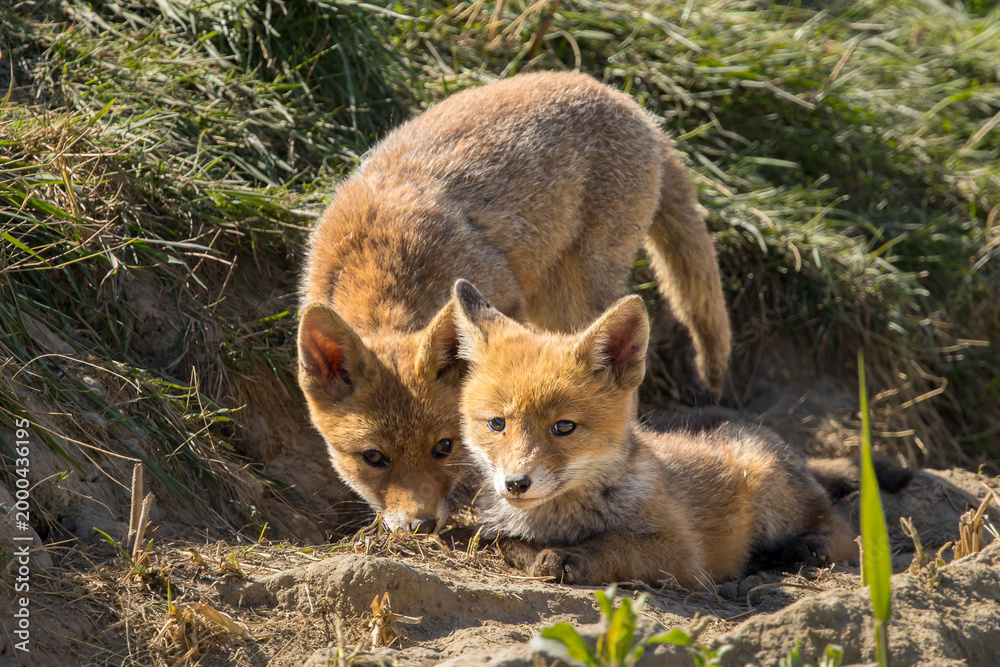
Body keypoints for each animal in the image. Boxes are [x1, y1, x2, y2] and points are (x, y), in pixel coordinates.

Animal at [297, 71, 731, 534]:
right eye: (374, 458)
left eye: (443, 447)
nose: (421, 525)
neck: (382, 265)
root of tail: (625, 99)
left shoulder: (504, 302)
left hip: (572, 298)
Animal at [452, 278, 910, 587]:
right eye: (497, 424)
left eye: (563, 427)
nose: (516, 483)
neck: (561, 520)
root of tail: (753, 426)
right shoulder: (491, 528)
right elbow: (504, 542)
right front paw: (540, 555)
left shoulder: (683, 552)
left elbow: (615, 544)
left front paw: (575, 558)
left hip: (771, 495)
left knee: (847, 531)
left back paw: (807, 548)